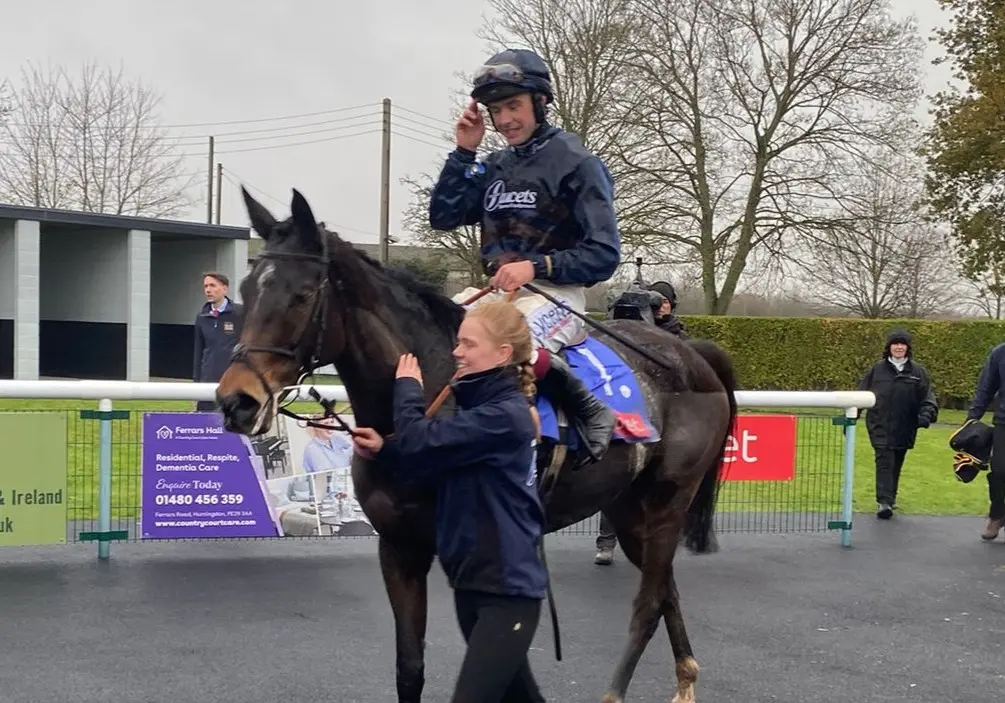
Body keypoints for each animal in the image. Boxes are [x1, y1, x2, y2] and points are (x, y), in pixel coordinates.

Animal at [215, 187, 738, 703]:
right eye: (245, 292)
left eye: (301, 295)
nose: (236, 401)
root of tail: (692, 355)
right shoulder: (399, 546)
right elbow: (410, 667)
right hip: (628, 507)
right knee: (666, 590)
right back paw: (686, 679)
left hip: (668, 499)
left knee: (648, 604)